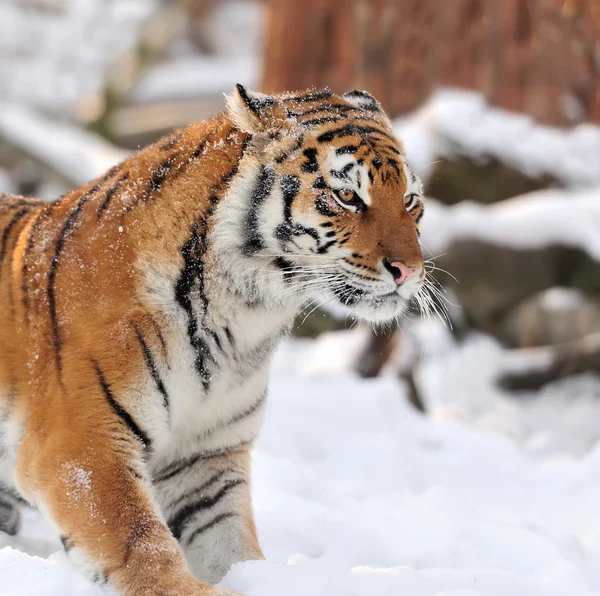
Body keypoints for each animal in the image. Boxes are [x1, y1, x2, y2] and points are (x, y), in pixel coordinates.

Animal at [0, 85, 424, 596]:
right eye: (347, 196)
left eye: (411, 199)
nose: (411, 271)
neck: (243, 317)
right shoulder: (82, 444)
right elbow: (137, 538)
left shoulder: (204, 458)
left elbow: (231, 545)